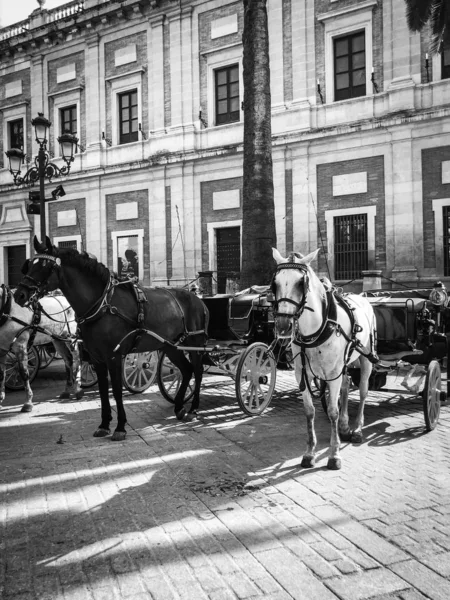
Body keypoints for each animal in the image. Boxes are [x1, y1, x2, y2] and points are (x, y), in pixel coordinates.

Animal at [14, 238, 209, 440]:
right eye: (29, 265)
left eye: (45, 266)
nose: (19, 294)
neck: (103, 305)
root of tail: (197, 299)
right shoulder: (97, 357)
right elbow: (102, 392)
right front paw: (104, 424)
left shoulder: (114, 356)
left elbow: (116, 390)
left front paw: (120, 427)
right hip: (170, 346)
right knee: (186, 370)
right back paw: (179, 407)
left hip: (195, 343)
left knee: (197, 371)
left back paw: (193, 409)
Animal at [272, 247, 378, 468]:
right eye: (275, 283)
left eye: (300, 283)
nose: (283, 326)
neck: (315, 330)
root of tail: (363, 296)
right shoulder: (301, 374)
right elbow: (310, 410)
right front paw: (309, 452)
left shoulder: (332, 373)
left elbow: (332, 411)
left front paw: (334, 454)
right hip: (344, 363)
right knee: (346, 386)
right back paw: (345, 426)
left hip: (366, 359)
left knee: (363, 391)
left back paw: (357, 429)